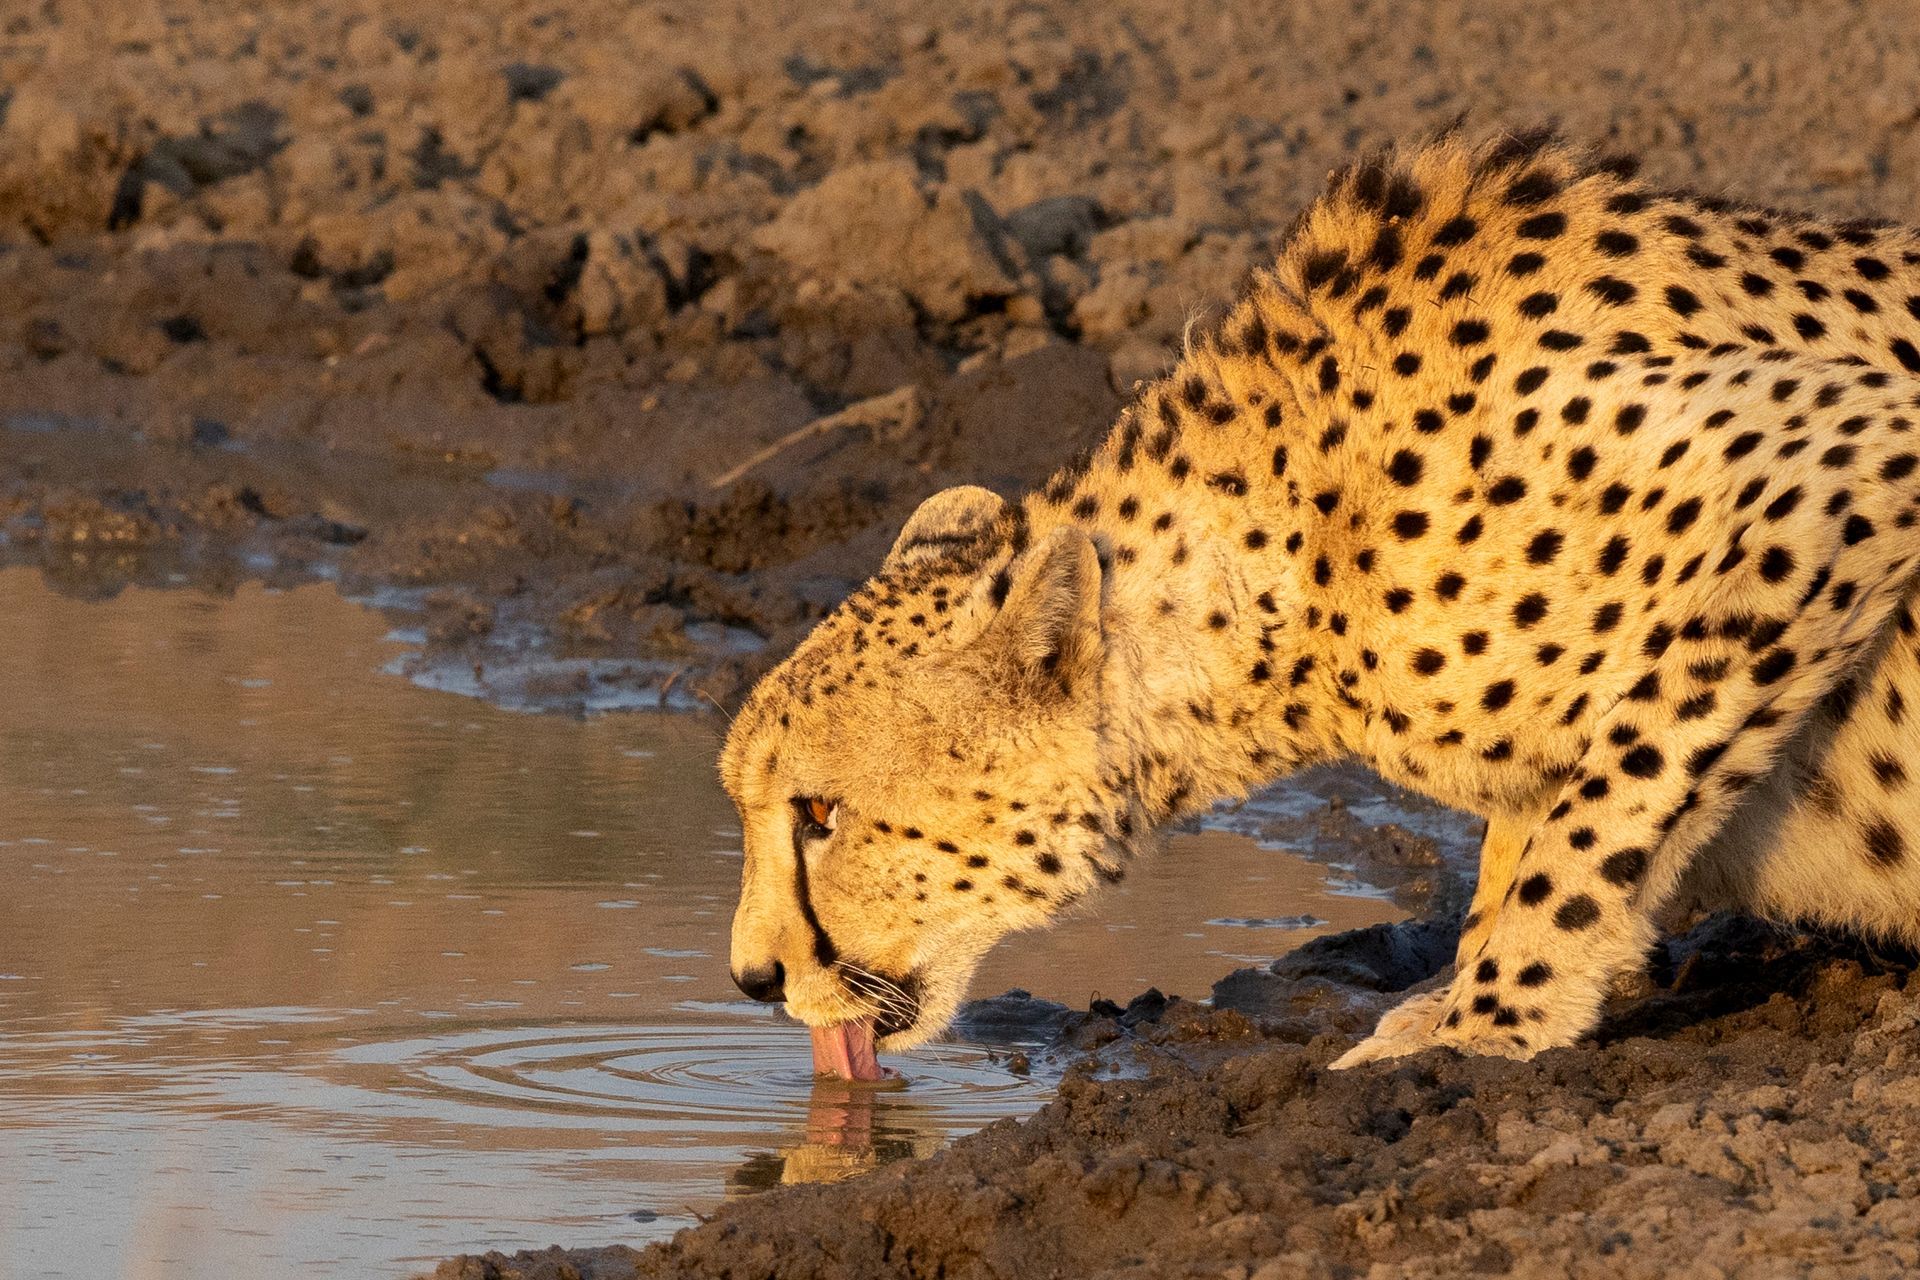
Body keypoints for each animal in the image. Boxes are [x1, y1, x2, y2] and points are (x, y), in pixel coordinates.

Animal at [718, 128, 1920, 1070]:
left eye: (819, 815)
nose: (748, 978)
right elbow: (1534, 831)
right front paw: (1455, 994)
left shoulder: (1850, 462)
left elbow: (1602, 807)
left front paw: (1490, 1022)